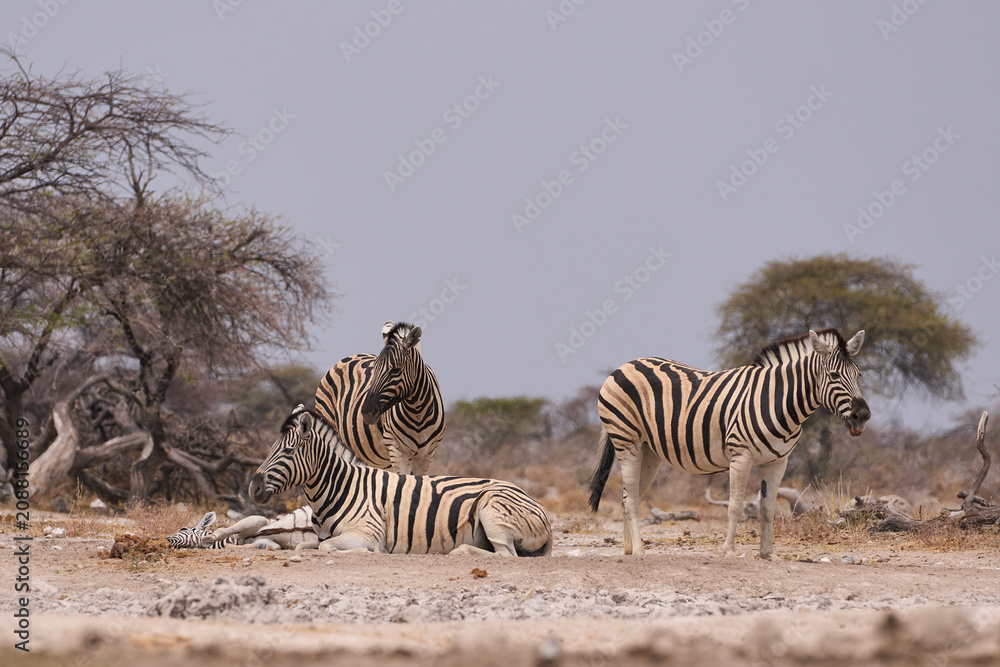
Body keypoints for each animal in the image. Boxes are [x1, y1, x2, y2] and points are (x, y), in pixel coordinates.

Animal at [248, 405, 552, 556]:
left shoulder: (368, 531)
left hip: (492, 510)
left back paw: (460, 551)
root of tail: (539, 507)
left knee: (505, 554)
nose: (253, 488)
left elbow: (329, 547)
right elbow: (306, 545)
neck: (339, 487)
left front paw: (371, 553)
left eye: (288, 451)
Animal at [314, 321, 444, 475]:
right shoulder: (396, 449)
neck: (417, 412)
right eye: (374, 369)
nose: (366, 411)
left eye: (396, 369)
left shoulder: (427, 455)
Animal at [589, 328, 870, 559]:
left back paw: (628, 549)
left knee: (628, 496)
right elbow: (735, 507)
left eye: (859, 375)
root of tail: (626, 364)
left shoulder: (778, 462)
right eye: (834, 375)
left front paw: (768, 554)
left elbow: (768, 509)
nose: (863, 415)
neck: (777, 401)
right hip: (627, 441)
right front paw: (729, 551)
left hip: (649, 452)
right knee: (631, 499)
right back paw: (638, 550)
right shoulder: (741, 456)